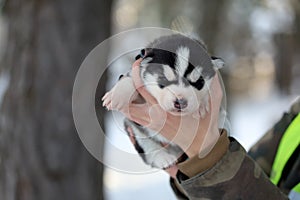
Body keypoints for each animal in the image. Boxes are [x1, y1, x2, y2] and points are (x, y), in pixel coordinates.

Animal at [102, 34, 224, 169]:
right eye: (163, 79)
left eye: (199, 82)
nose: (180, 102)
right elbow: (130, 80)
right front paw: (117, 94)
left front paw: (202, 104)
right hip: (134, 128)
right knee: (147, 145)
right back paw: (162, 157)